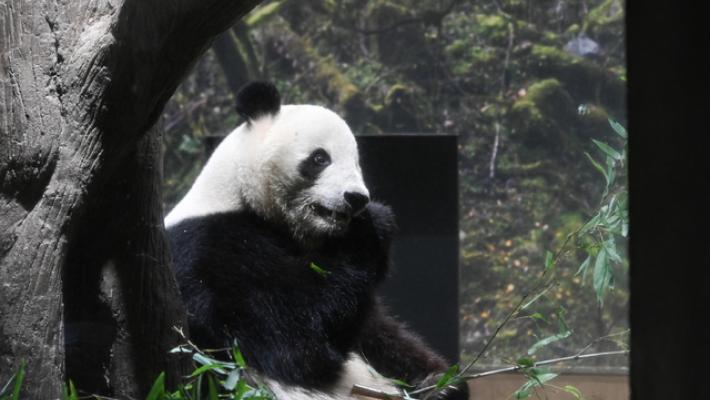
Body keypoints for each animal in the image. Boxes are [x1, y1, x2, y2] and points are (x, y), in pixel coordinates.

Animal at [165, 82, 468, 400]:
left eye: (356, 163)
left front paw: (439, 381)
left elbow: (381, 335)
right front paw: (372, 224)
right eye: (320, 158)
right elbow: (293, 341)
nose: (356, 198)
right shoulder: (213, 253)